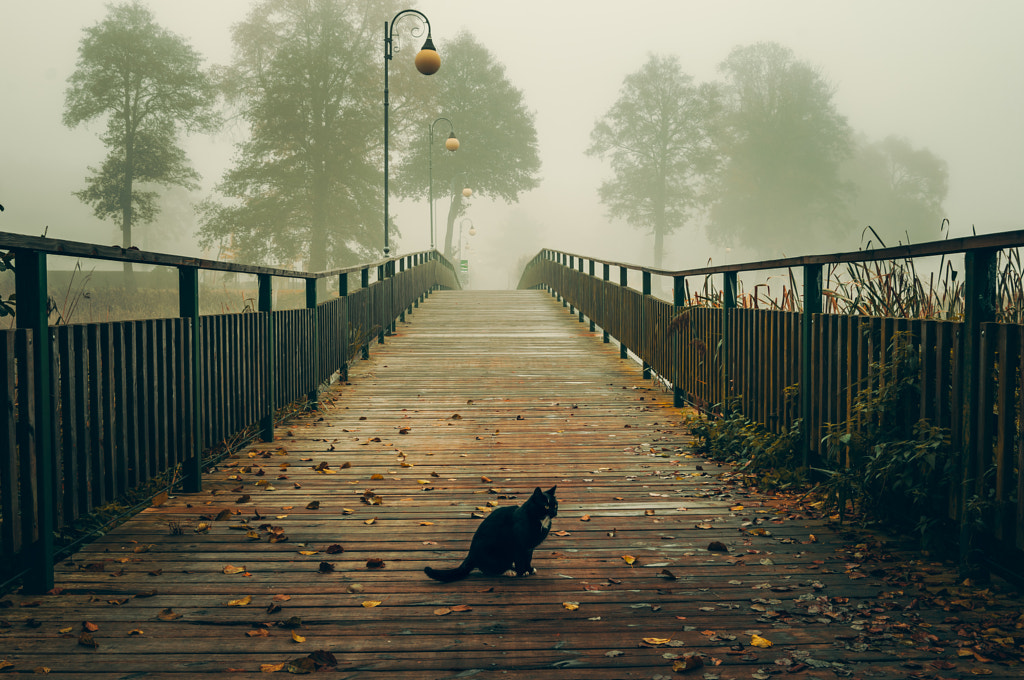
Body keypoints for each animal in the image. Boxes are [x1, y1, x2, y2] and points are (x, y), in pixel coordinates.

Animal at [421, 485, 561, 581]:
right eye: (546, 506)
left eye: (555, 505)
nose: (554, 513)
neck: (540, 521)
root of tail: (471, 553)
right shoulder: (519, 545)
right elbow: (520, 560)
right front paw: (522, 572)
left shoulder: (529, 548)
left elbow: (528, 559)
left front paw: (529, 569)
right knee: (488, 569)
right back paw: (509, 571)